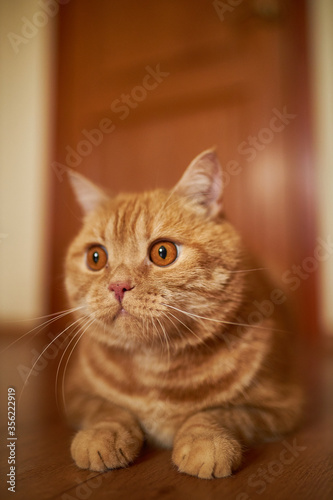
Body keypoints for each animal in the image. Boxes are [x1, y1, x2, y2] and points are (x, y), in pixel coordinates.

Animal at [64, 150, 300, 478]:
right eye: (95, 257)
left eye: (163, 252)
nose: (118, 286)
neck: (153, 367)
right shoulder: (75, 394)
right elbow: (105, 409)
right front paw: (103, 434)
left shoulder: (282, 407)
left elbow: (219, 413)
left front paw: (206, 442)